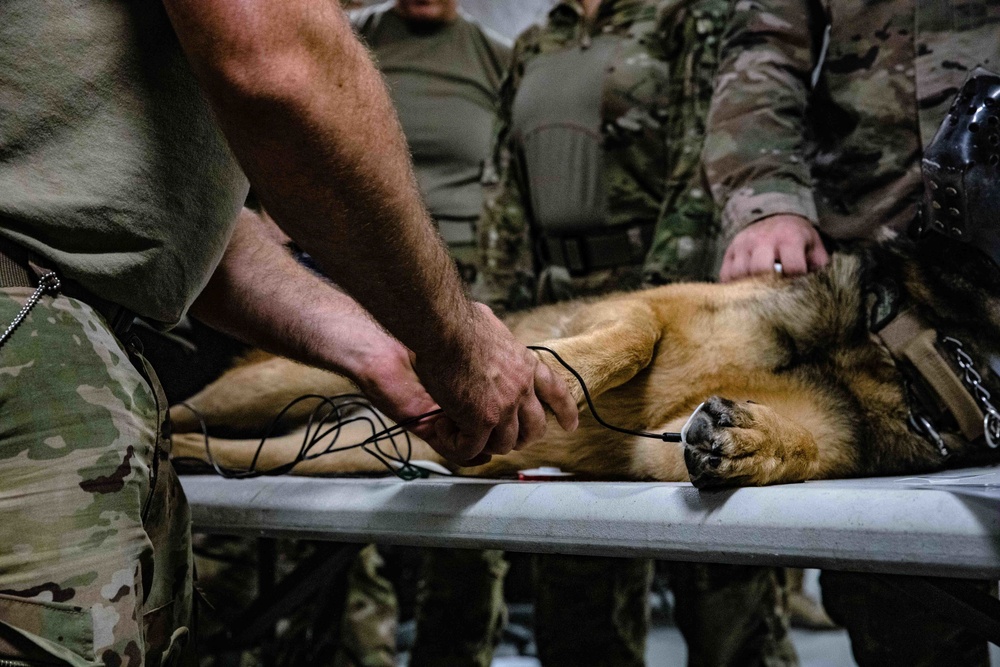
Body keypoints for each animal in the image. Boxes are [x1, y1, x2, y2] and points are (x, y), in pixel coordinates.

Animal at [168, 228, 1000, 486]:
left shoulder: (659, 450)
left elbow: (798, 445)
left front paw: (753, 440)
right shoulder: (643, 307)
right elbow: (618, 341)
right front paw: (538, 375)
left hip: (339, 447)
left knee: (237, 450)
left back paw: (182, 454)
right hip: (281, 379)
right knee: (185, 405)